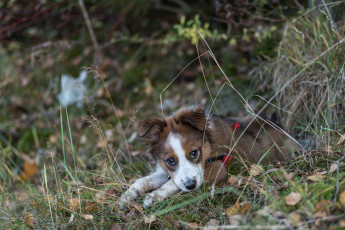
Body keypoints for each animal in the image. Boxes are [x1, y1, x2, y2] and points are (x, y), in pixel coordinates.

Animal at [118, 107, 296, 209]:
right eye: (170, 161)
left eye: (194, 153)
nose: (191, 186)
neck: (209, 144)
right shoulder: (166, 171)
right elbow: (141, 181)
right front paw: (125, 197)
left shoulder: (218, 168)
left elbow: (172, 184)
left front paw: (154, 197)